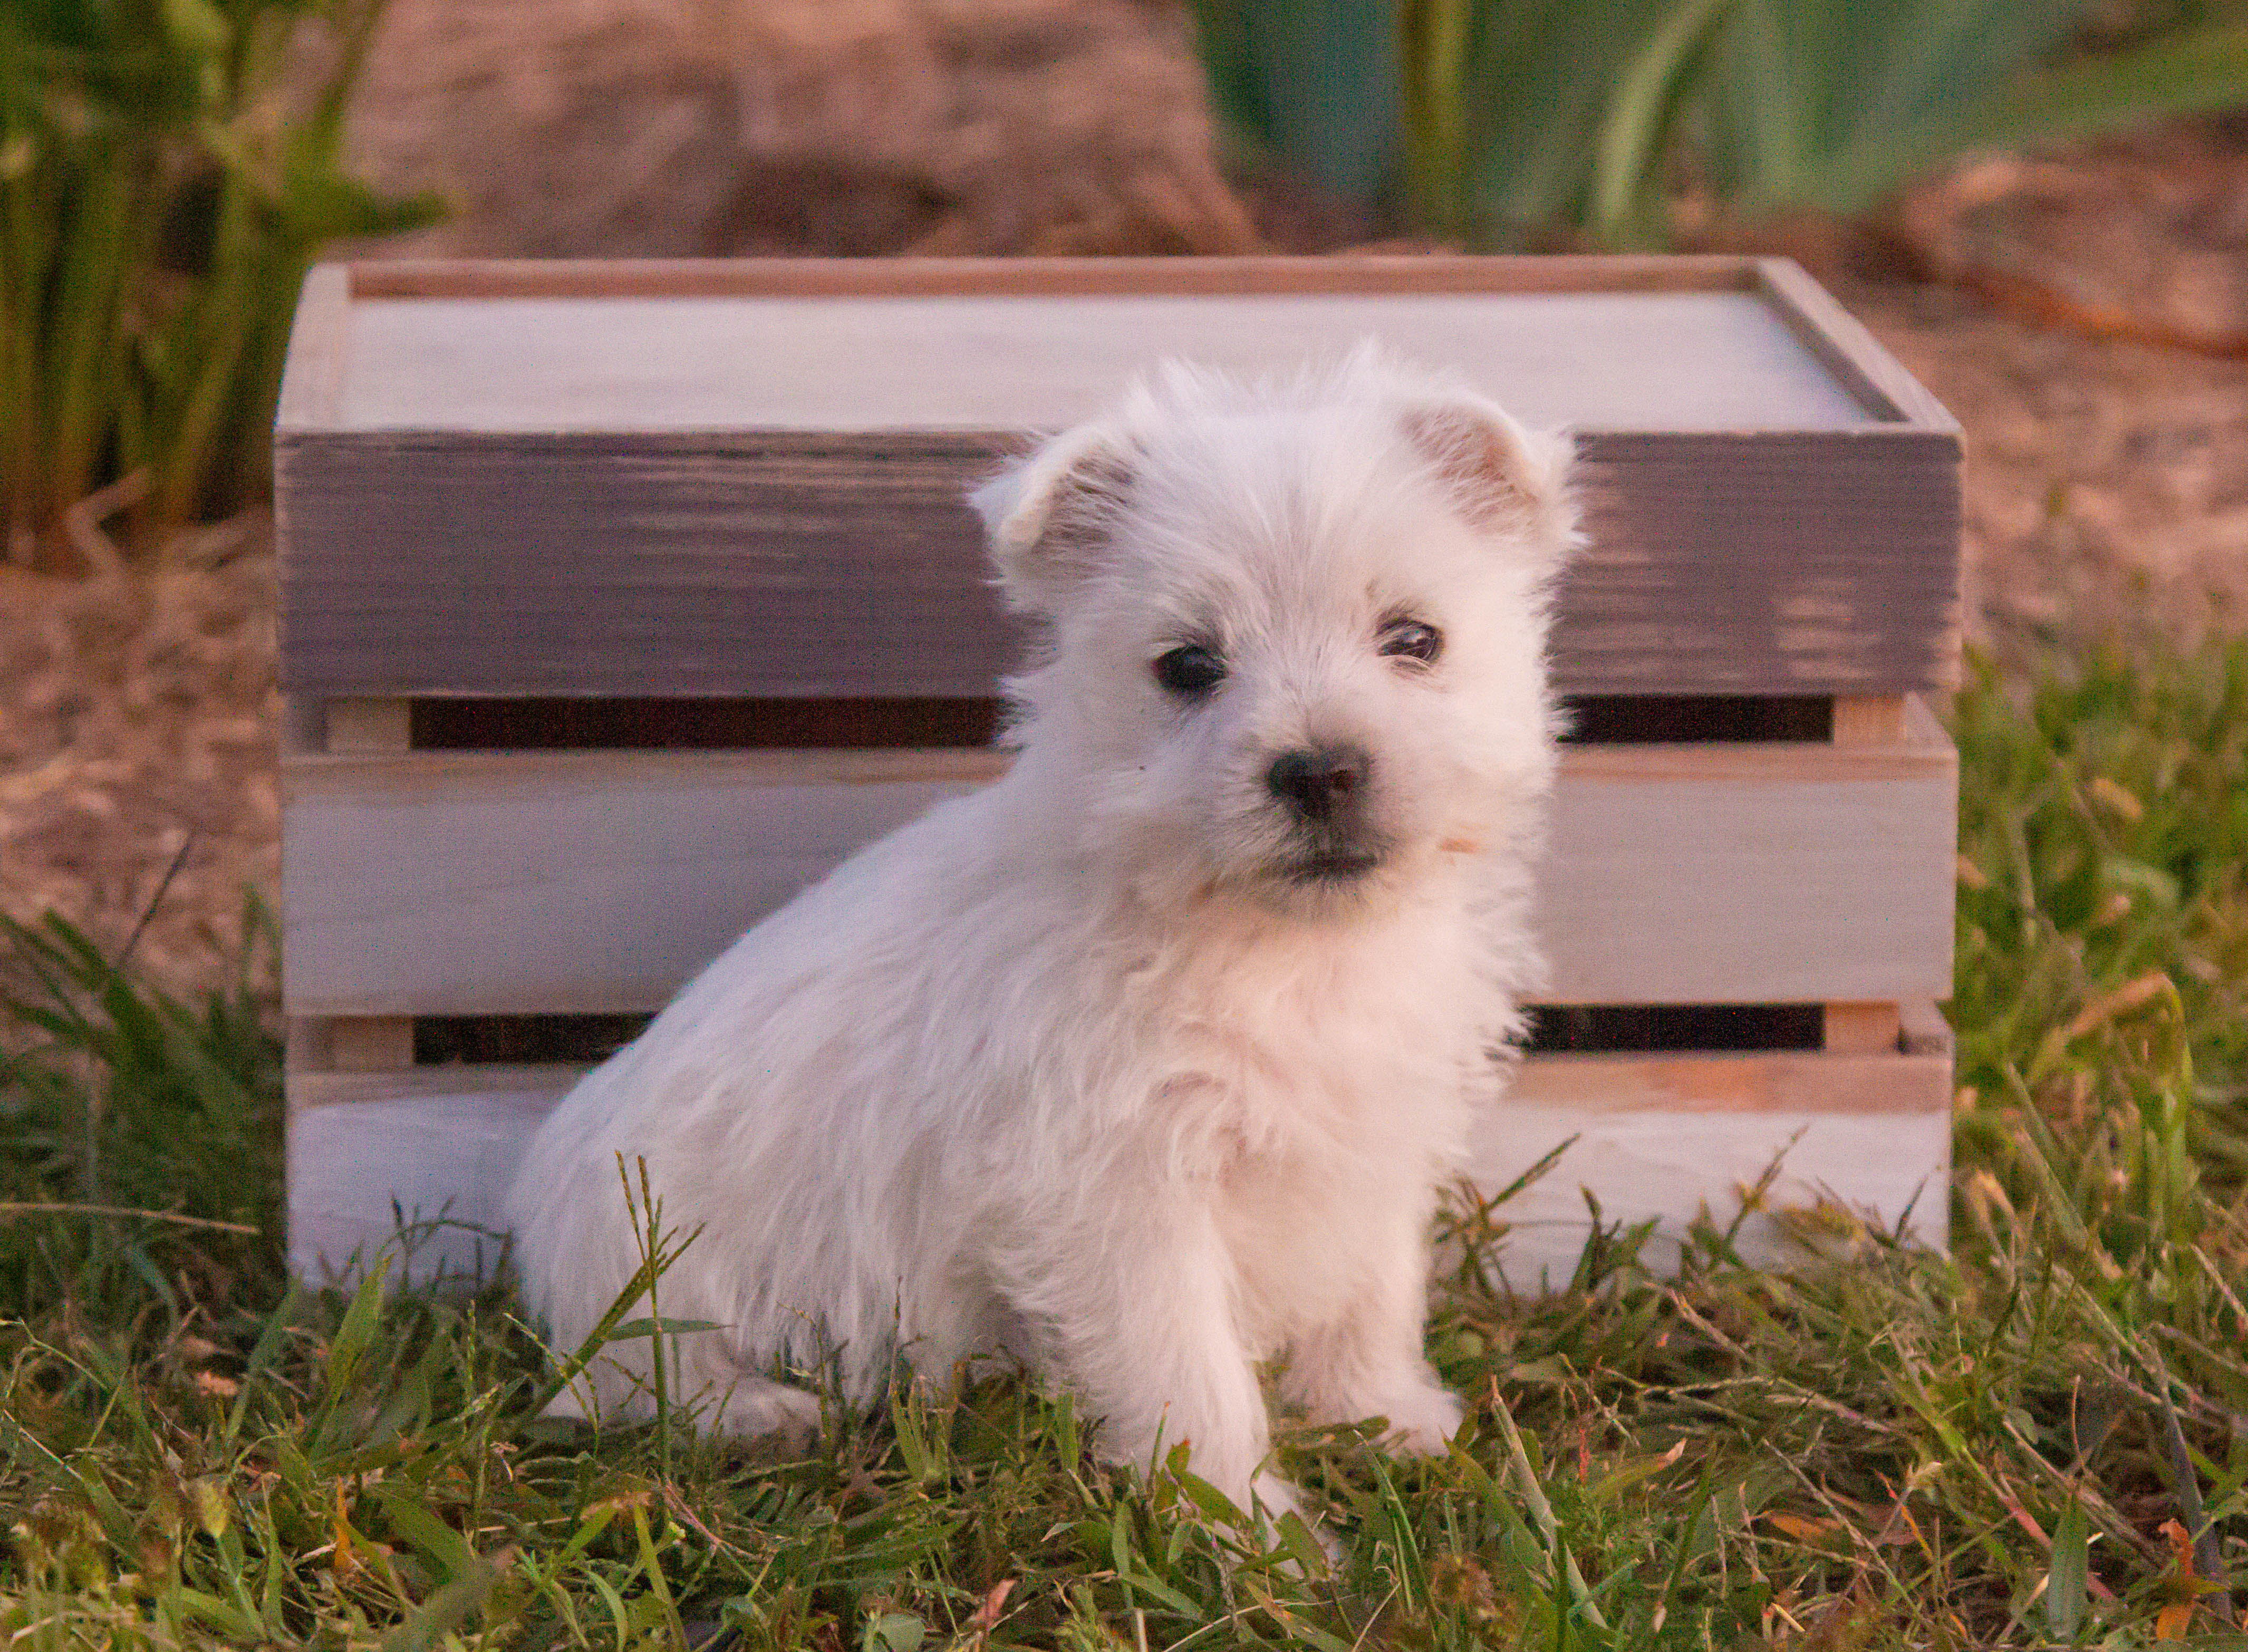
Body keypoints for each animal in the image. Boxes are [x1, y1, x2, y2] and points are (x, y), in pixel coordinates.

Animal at [503, 348, 1574, 1528]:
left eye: (1414, 641)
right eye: (1188, 666)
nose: (1319, 769)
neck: (1275, 944)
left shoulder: (1372, 1135)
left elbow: (1372, 1289)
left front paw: (1385, 1417)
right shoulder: (1121, 1191)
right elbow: (1188, 1370)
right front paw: (1246, 1525)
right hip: (641, 1254)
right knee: (629, 1377)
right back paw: (762, 1415)